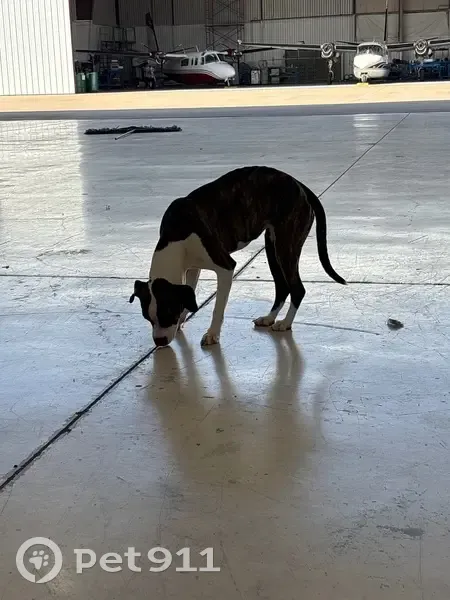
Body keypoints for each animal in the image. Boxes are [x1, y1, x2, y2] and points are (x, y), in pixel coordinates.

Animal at [129, 166, 346, 347]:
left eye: (168, 313)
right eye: (148, 318)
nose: (159, 342)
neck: (176, 235)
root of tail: (299, 184)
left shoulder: (225, 267)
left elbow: (218, 308)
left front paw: (212, 334)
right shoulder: (192, 268)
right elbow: (190, 291)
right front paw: (184, 319)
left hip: (285, 246)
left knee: (297, 288)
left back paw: (285, 323)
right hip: (272, 247)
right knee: (283, 287)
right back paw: (269, 318)